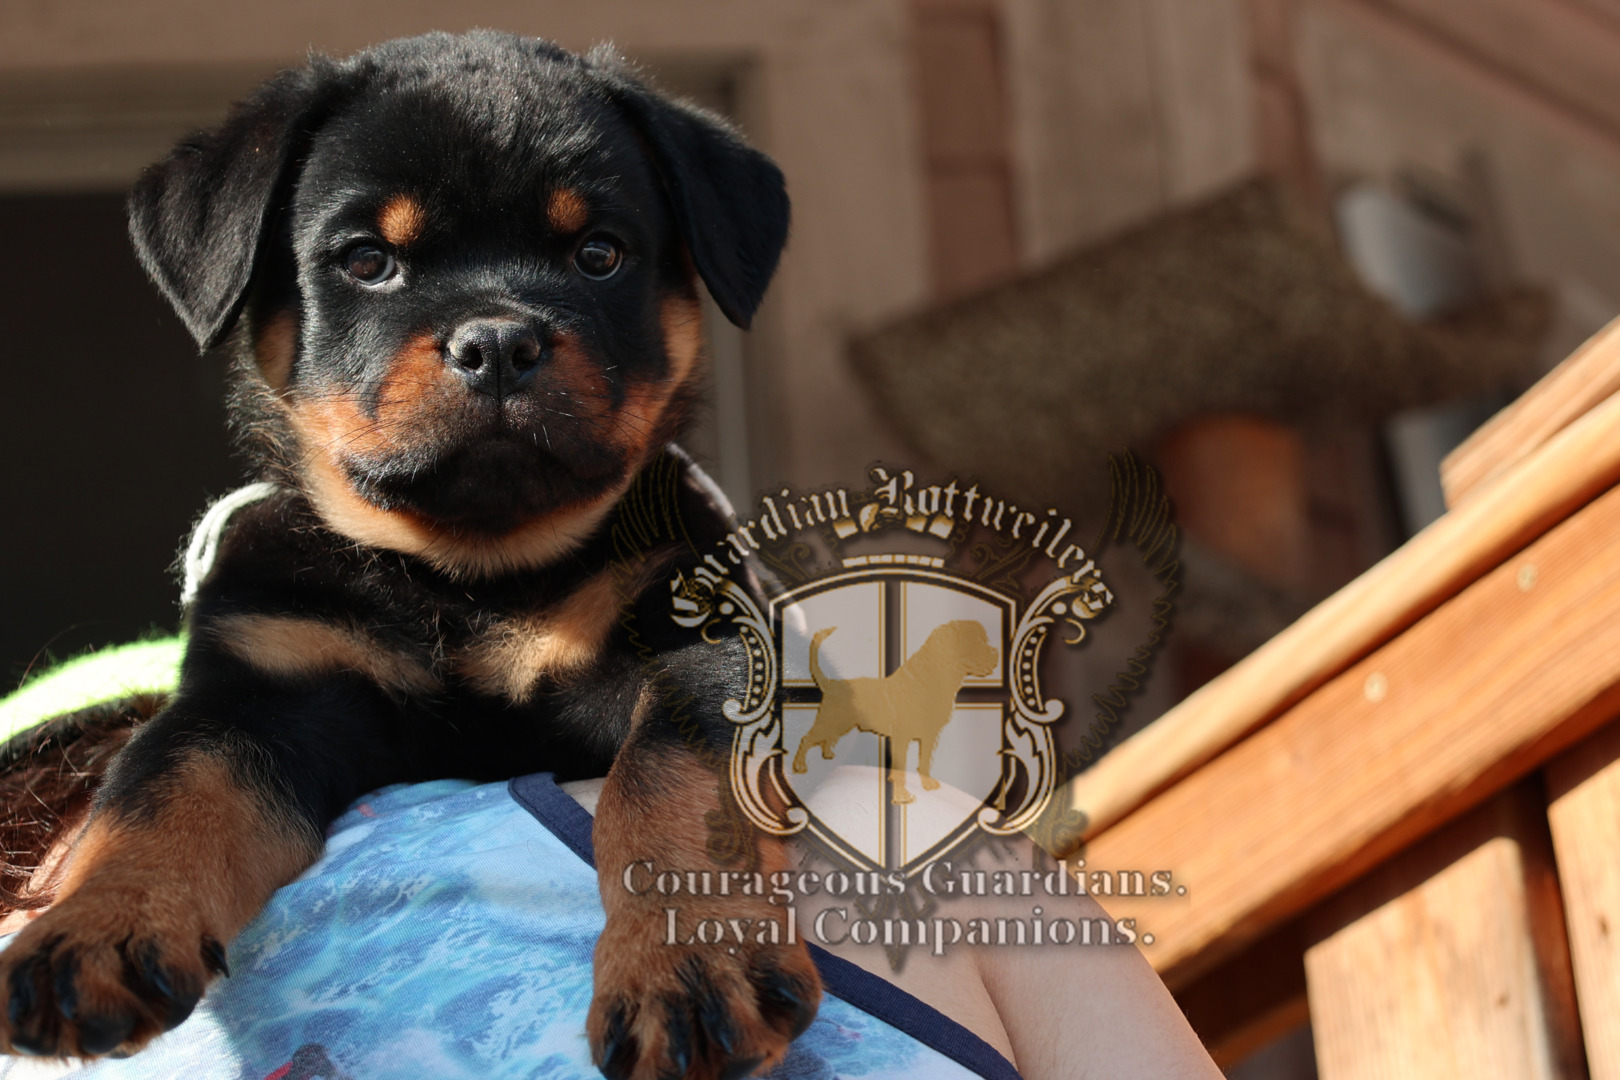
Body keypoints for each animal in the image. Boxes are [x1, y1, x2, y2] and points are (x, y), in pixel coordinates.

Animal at [0, 32, 819, 1077]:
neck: (463, 575)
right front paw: (94, 930)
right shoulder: (252, 693)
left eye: (599, 254)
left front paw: (690, 965)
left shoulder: (699, 650)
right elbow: (158, 804)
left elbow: (667, 788)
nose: (500, 340)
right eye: (367, 260)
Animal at [791, 621, 999, 802]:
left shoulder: (930, 736)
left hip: (840, 724)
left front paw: (927, 784)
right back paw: (799, 765)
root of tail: (831, 683)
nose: (996, 652)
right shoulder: (902, 737)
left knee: (827, 739)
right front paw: (902, 795)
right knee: (806, 739)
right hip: (831, 721)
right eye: (974, 642)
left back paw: (827, 755)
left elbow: (924, 763)